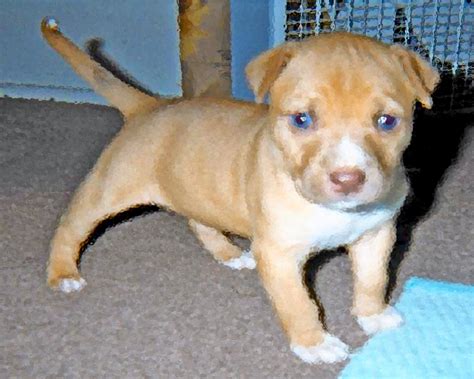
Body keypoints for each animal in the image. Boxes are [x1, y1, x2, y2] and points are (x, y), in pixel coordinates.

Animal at [42, 18, 438, 366]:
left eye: (386, 121)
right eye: (302, 119)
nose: (347, 178)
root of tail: (149, 106)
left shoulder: (376, 235)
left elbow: (373, 280)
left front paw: (373, 316)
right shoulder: (279, 255)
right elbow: (299, 305)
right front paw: (315, 344)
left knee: (199, 223)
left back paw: (230, 254)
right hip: (108, 190)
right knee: (71, 226)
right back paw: (63, 274)